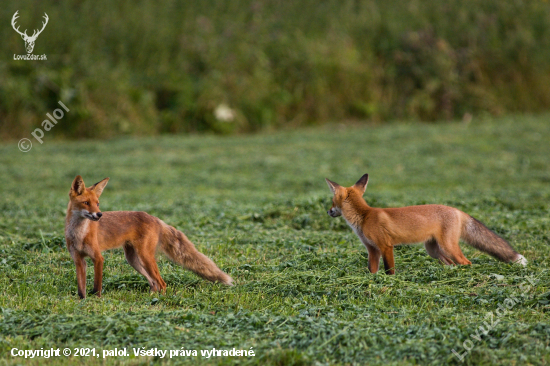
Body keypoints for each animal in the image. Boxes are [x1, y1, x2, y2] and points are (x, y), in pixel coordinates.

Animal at [64, 176, 233, 298]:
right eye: (86, 203)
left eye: (97, 203)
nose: (99, 215)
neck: (79, 234)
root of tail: (156, 218)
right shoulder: (78, 260)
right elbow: (81, 289)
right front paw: (82, 302)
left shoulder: (98, 258)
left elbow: (97, 286)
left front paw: (97, 300)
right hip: (134, 260)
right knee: (153, 283)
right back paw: (151, 298)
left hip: (145, 257)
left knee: (162, 283)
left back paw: (160, 301)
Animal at [326, 174, 528, 274]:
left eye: (332, 201)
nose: (328, 211)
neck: (364, 216)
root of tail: (457, 210)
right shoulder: (372, 250)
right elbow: (372, 271)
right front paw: (372, 282)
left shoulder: (386, 246)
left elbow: (389, 270)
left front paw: (390, 283)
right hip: (434, 250)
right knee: (452, 265)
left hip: (448, 247)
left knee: (467, 262)